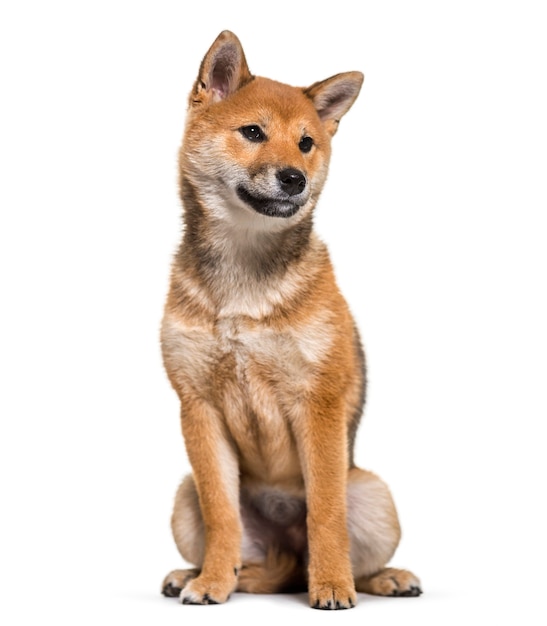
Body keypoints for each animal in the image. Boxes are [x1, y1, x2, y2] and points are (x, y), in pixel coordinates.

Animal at [161, 30, 422, 608]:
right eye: (253, 132)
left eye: (306, 143)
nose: (294, 179)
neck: (244, 277)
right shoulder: (197, 406)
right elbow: (222, 514)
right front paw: (211, 583)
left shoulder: (317, 401)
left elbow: (325, 513)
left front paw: (331, 587)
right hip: (183, 495)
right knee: (253, 560)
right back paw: (194, 574)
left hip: (373, 491)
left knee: (351, 554)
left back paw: (382, 578)